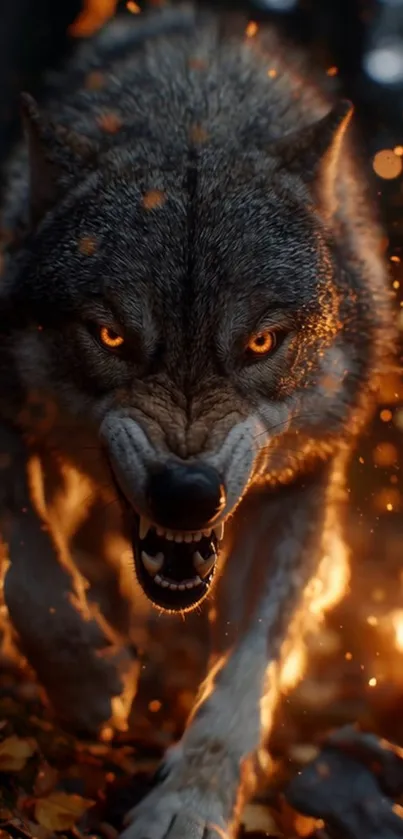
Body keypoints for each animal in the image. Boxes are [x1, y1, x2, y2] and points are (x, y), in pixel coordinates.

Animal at [0, 3, 394, 837]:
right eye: (111, 335)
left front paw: (192, 799)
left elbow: (247, 672)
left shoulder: (297, 490)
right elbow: (29, 559)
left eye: (260, 343)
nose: (186, 494)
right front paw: (88, 682)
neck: (195, 105)